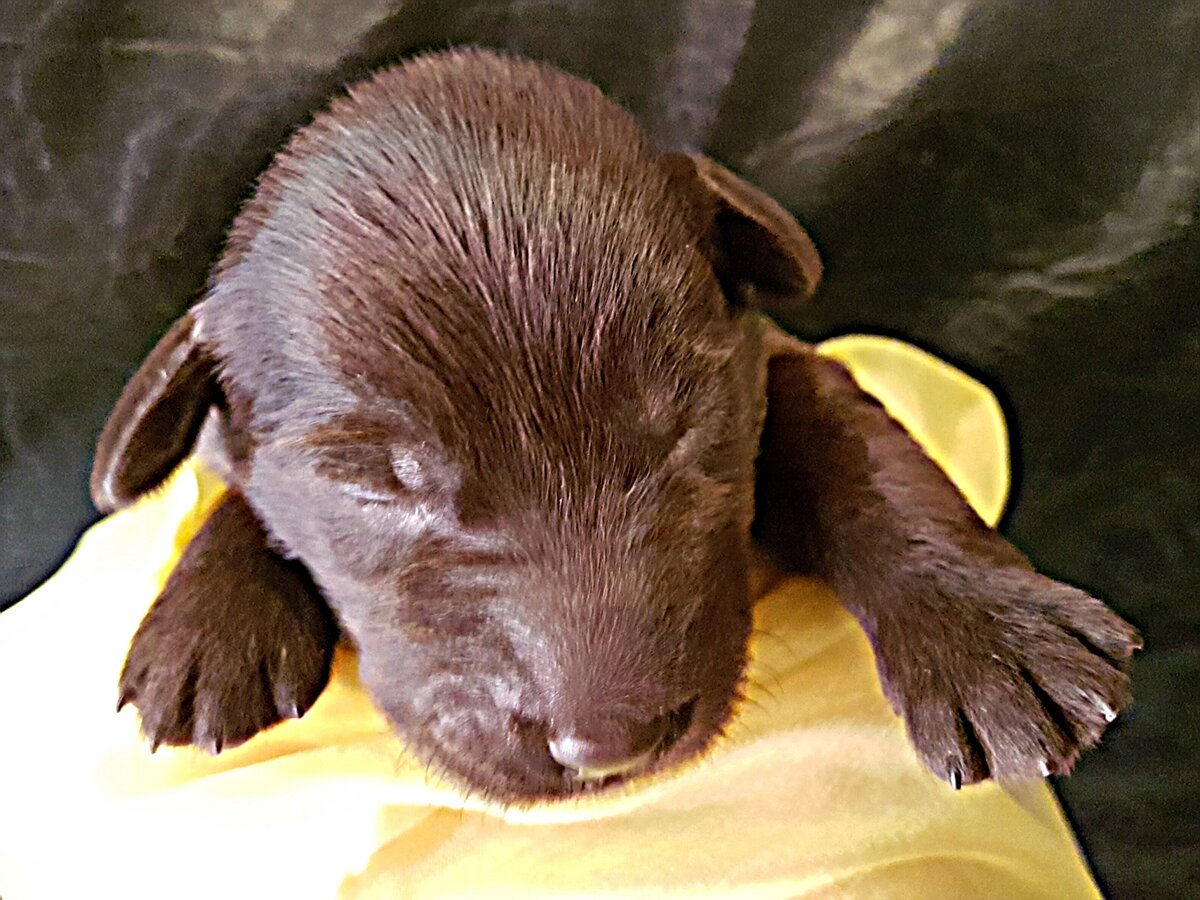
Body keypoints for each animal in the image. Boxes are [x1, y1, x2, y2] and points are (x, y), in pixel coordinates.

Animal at [92, 48, 1139, 801]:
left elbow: (863, 452)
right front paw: (209, 618)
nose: (610, 745)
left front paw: (984, 630)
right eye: (378, 480)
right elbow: (242, 482)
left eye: (680, 422)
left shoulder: (773, 360)